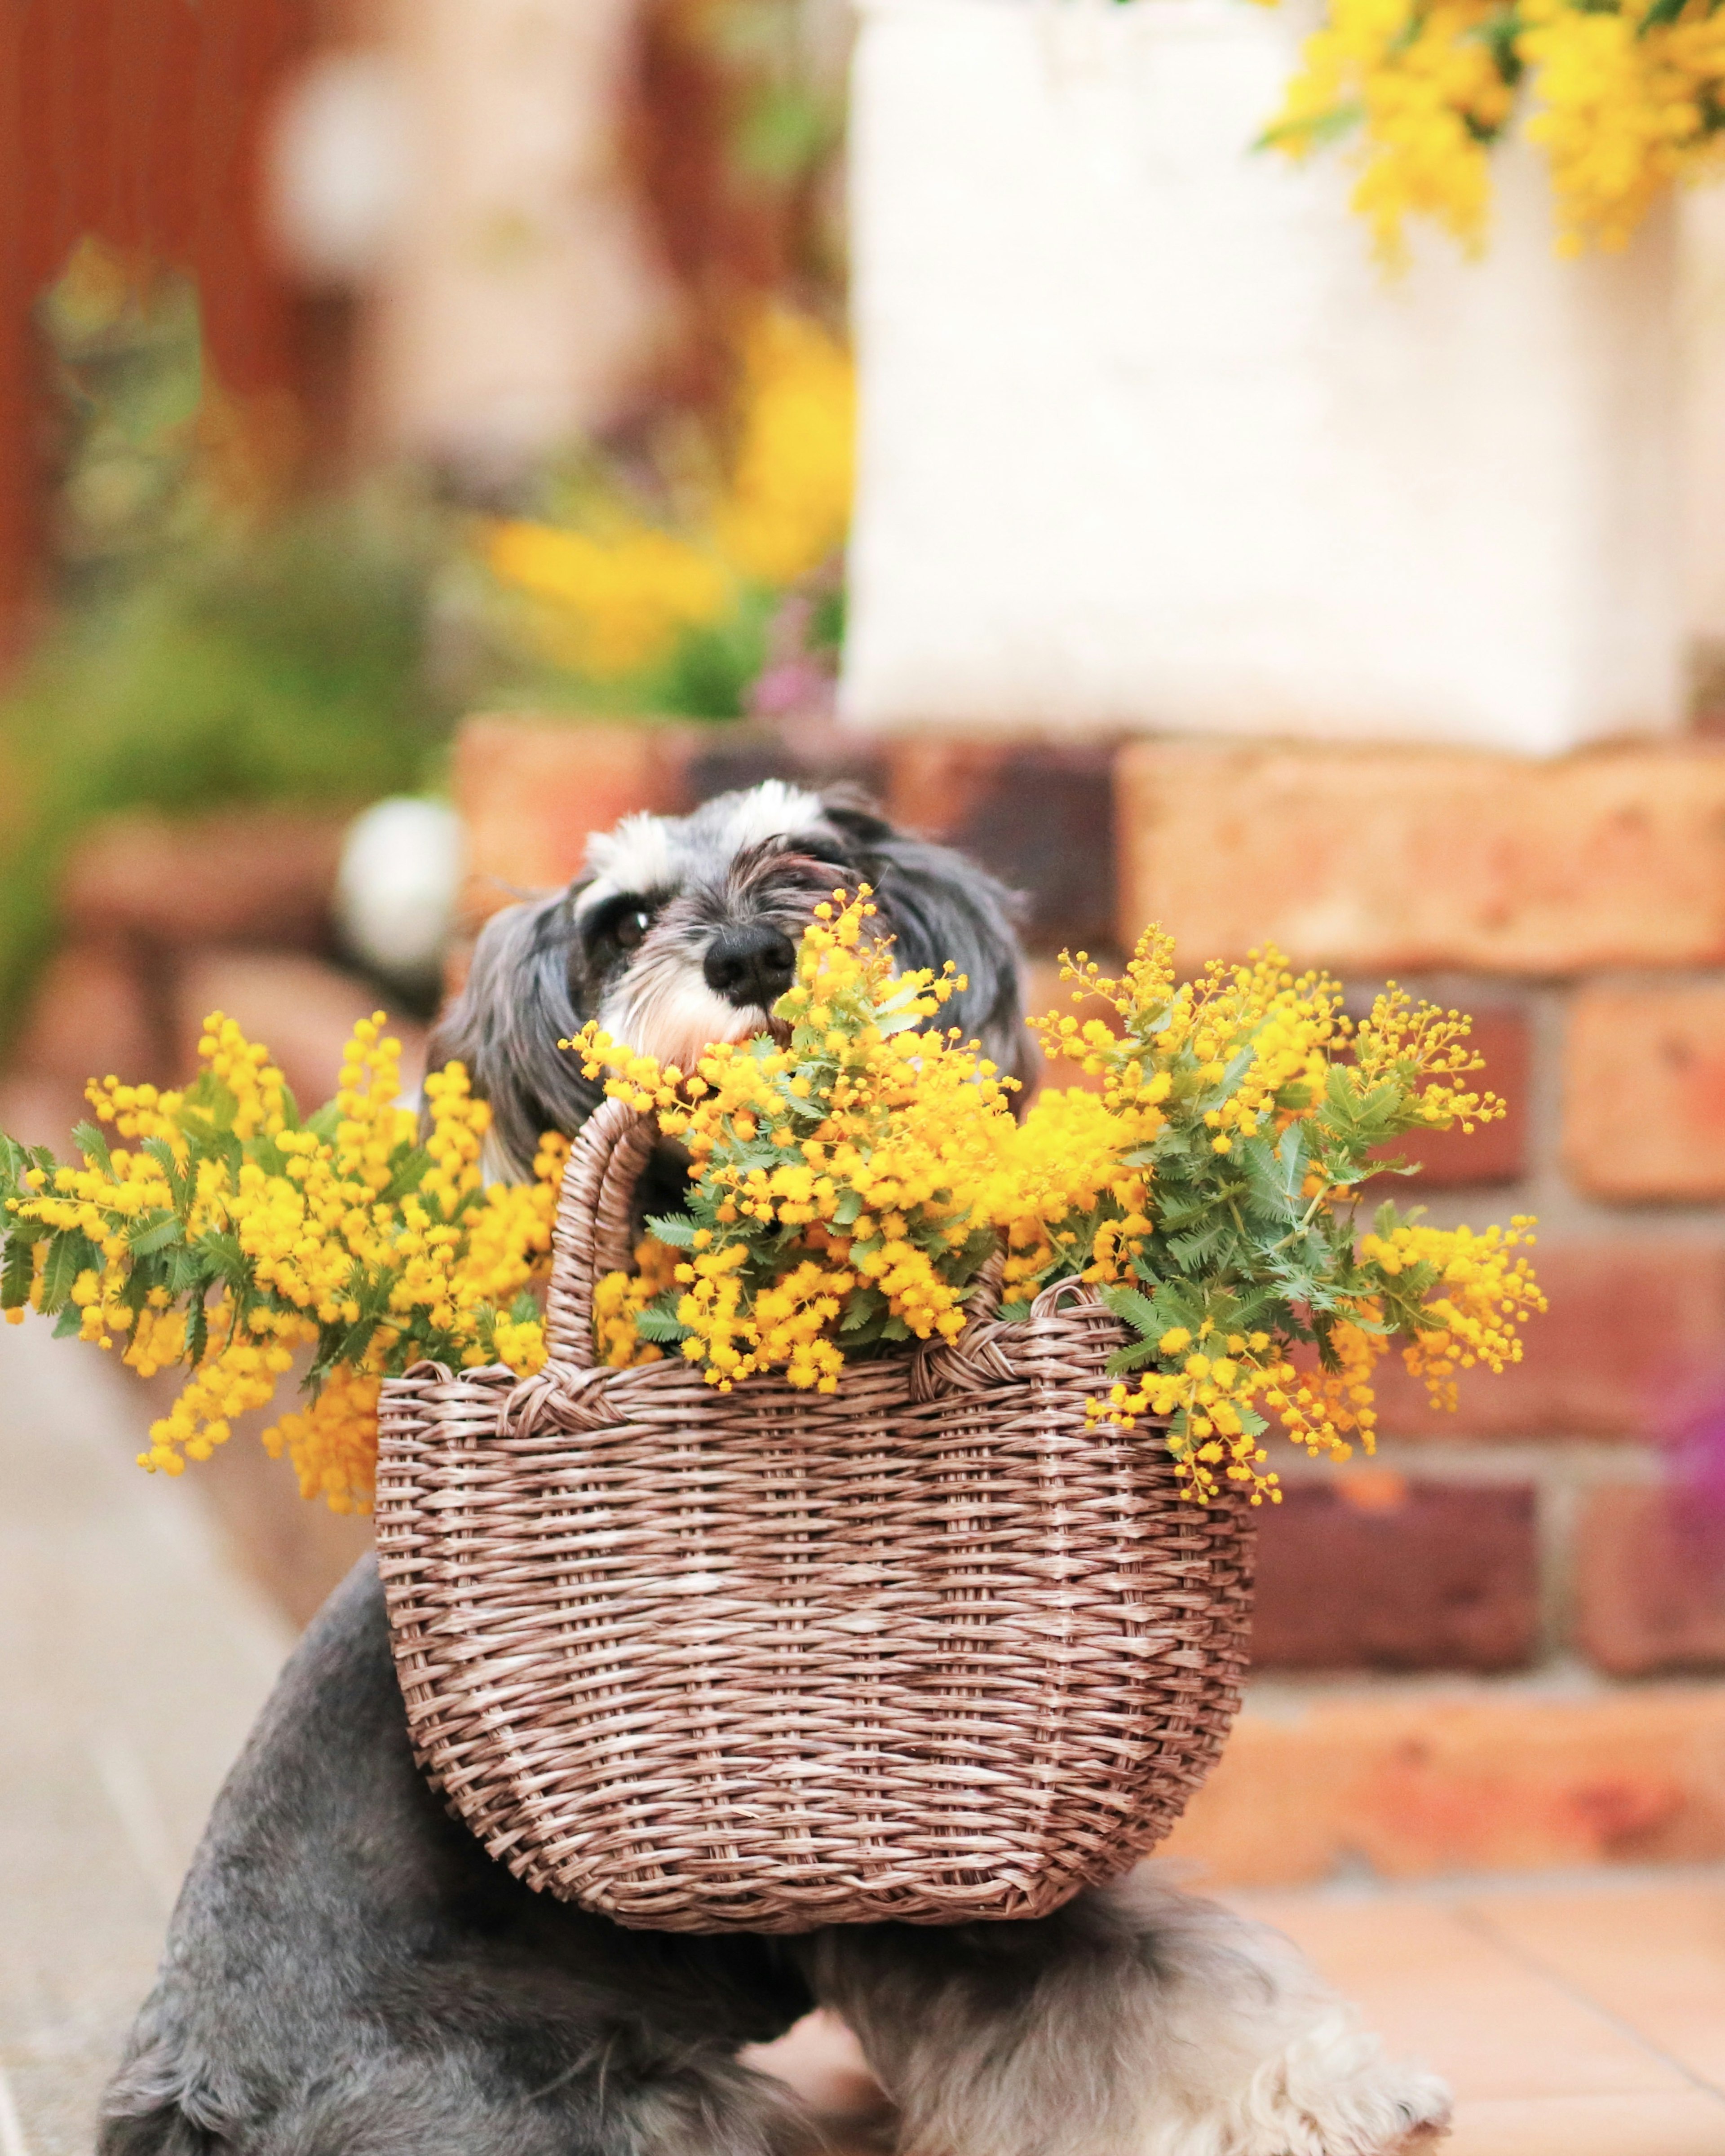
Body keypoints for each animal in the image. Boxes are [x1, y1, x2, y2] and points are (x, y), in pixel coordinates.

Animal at [101, 785, 1449, 2147]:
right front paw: (1306, 2089)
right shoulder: (917, 1883)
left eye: (808, 854)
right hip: (621, 2098)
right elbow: (1116, 1992)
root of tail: (188, 2107)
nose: (751, 955)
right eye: (623, 920)